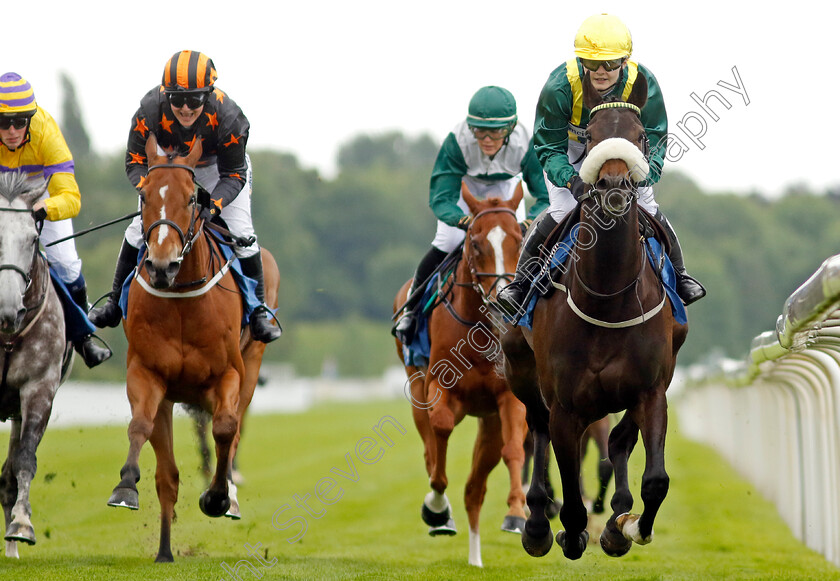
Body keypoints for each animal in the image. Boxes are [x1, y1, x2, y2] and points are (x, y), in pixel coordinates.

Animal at [106, 134, 278, 560]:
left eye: (189, 198)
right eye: (144, 195)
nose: (161, 265)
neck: (181, 297)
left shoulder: (229, 374)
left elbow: (226, 428)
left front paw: (217, 497)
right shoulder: (147, 373)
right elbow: (140, 427)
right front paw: (125, 488)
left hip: (252, 365)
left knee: (233, 433)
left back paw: (228, 493)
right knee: (167, 476)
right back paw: (165, 550)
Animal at [398, 182, 528, 568]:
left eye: (519, 239)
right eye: (476, 242)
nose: (502, 299)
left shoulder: (508, 398)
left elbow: (514, 450)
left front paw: (517, 513)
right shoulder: (439, 389)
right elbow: (439, 437)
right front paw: (437, 509)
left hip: (490, 423)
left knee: (475, 488)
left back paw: (476, 558)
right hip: (418, 390)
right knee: (430, 451)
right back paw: (443, 518)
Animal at [502, 70, 684, 560]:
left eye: (640, 136)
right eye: (589, 138)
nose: (615, 188)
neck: (608, 296)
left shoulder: (651, 389)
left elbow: (655, 478)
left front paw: (629, 526)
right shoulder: (564, 403)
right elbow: (568, 490)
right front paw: (566, 530)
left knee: (618, 441)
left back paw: (616, 514)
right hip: (521, 372)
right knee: (537, 432)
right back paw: (536, 521)